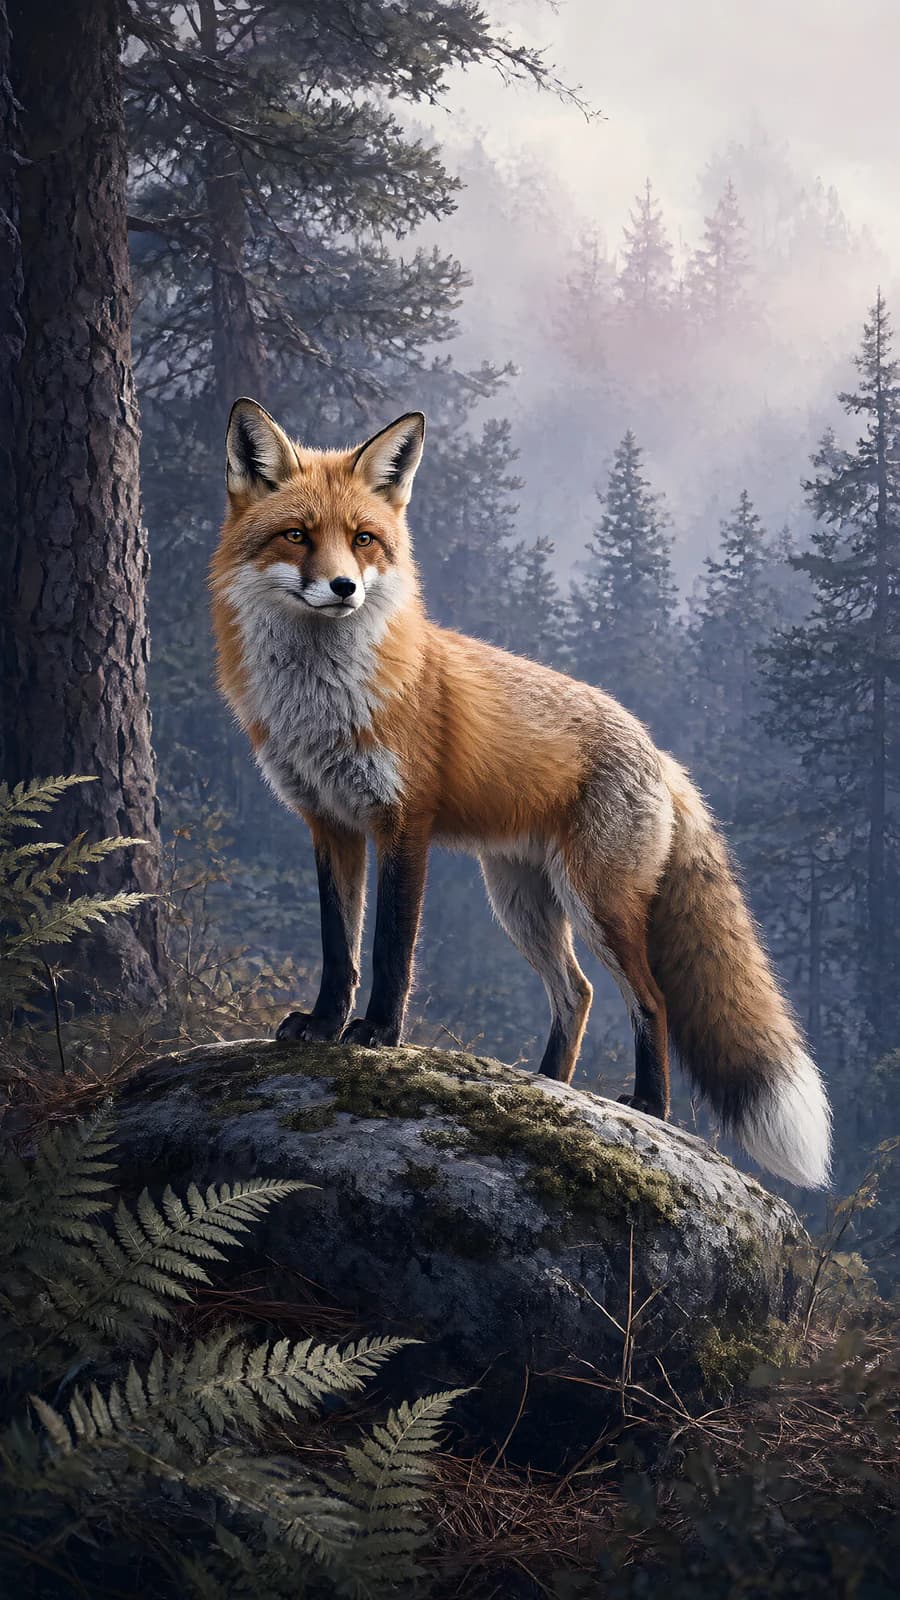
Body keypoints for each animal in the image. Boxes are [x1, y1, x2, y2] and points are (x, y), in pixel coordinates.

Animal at [210, 398, 832, 1189]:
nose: (343, 588)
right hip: (521, 903)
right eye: (297, 536)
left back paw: (649, 1107)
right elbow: (337, 947)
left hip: (597, 901)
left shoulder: (403, 822)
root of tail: (658, 751)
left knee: (651, 999)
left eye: (363, 541)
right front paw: (323, 1026)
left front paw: (377, 1033)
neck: (323, 702)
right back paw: (549, 1089)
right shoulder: (330, 824)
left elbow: (390, 947)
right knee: (578, 993)